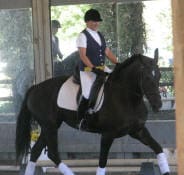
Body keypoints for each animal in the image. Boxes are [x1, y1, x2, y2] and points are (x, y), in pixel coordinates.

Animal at [15, 53, 170, 175]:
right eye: (147, 78)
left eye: (159, 75)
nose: (158, 105)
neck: (127, 97)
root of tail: (35, 87)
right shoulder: (107, 134)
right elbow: (102, 162)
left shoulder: (138, 131)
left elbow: (158, 148)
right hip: (50, 126)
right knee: (52, 153)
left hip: (49, 126)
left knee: (36, 152)